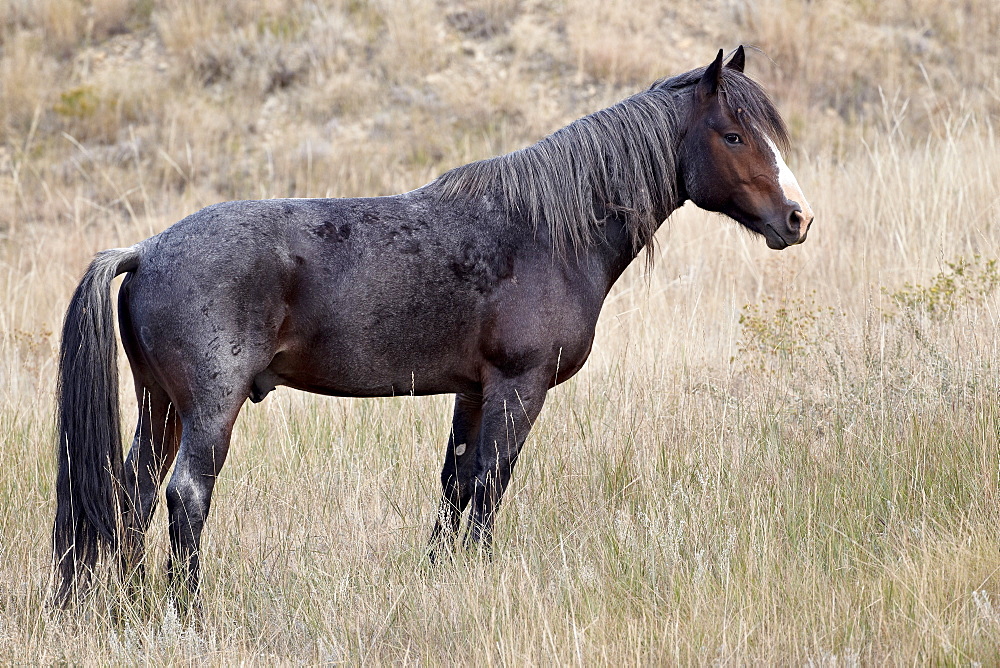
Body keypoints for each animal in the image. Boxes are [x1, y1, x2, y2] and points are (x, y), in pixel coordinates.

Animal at [52, 44, 812, 604]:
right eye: (735, 135)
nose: (798, 218)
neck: (541, 233)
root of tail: (146, 251)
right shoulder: (516, 388)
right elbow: (489, 485)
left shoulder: (472, 392)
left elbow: (455, 484)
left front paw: (441, 577)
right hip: (209, 408)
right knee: (185, 496)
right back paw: (187, 607)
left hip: (158, 407)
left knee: (131, 496)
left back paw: (129, 602)